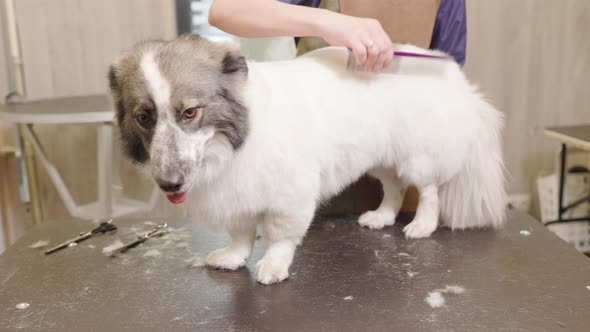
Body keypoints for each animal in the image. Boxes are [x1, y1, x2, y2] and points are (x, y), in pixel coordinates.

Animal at [110, 34, 508, 286]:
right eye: (143, 117)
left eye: (190, 112)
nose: (169, 184)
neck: (231, 146)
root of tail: (450, 72)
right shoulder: (238, 195)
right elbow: (240, 235)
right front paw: (233, 258)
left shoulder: (289, 196)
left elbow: (279, 236)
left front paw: (273, 265)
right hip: (379, 157)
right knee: (394, 188)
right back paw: (381, 217)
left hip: (419, 155)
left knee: (428, 191)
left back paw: (422, 225)